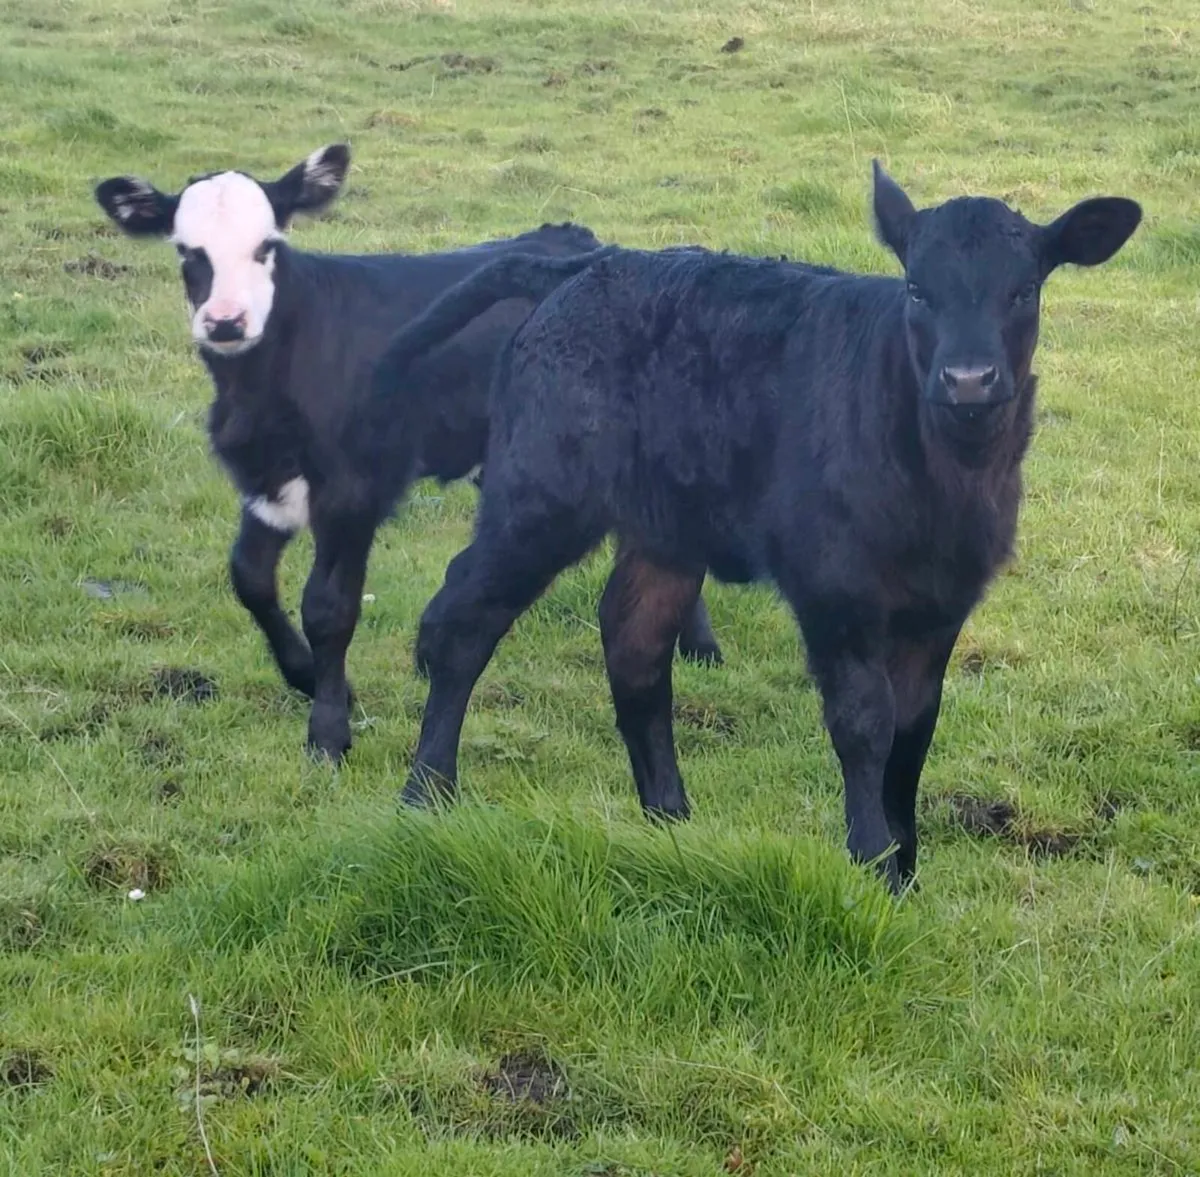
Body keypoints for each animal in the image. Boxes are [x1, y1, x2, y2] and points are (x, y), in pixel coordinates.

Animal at [92, 145, 722, 762]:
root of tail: (588, 243)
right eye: (186, 250)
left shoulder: (352, 489)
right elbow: (249, 579)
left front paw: (328, 733)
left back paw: (702, 647)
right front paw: (306, 677)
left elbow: (328, 608)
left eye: (268, 245)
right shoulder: (268, 482)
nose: (225, 322)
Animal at [370, 160, 1141, 892]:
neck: (945, 477)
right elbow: (864, 721)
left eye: (1024, 291)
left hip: (667, 524)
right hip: (541, 494)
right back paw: (425, 794)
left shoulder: (943, 603)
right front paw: (874, 864)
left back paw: (670, 820)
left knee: (635, 641)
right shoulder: (834, 586)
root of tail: (591, 266)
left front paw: (909, 870)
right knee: (463, 621)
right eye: (918, 290)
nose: (969, 378)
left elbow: (914, 731)